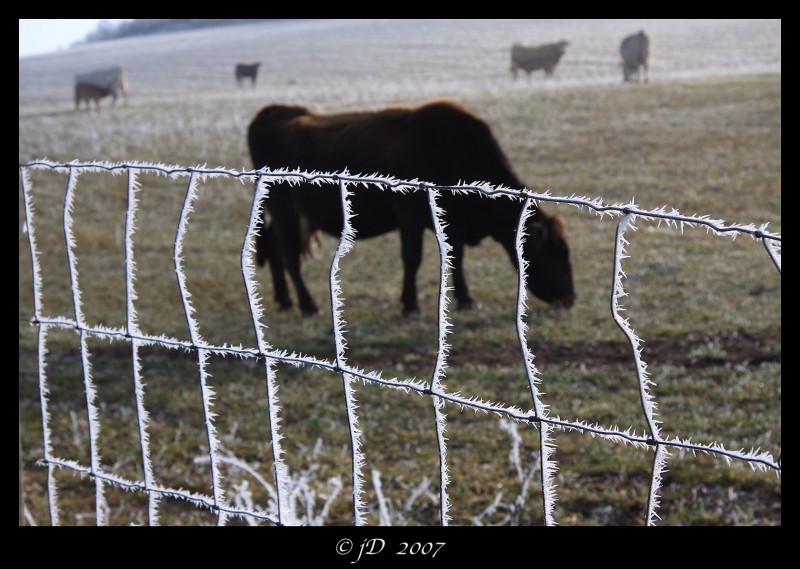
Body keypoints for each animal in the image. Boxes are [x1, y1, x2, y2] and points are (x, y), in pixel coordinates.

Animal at [247, 100, 572, 318]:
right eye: (554, 250)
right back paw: (307, 304)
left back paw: (285, 299)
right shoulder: (410, 216)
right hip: (283, 207)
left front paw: (466, 299)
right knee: (289, 254)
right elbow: (412, 258)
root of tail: (272, 112)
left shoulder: (451, 222)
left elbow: (456, 257)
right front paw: (411, 304)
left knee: (274, 247)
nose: (570, 298)